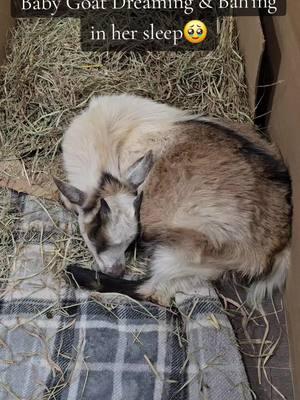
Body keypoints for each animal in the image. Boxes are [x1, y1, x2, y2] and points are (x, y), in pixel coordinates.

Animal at [54, 94, 290, 306]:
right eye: (95, 236)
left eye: (130, 240)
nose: (118, 270)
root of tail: (276, 249)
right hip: (202, 265)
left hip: (186, 250)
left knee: (152, 290)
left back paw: (75, 272)